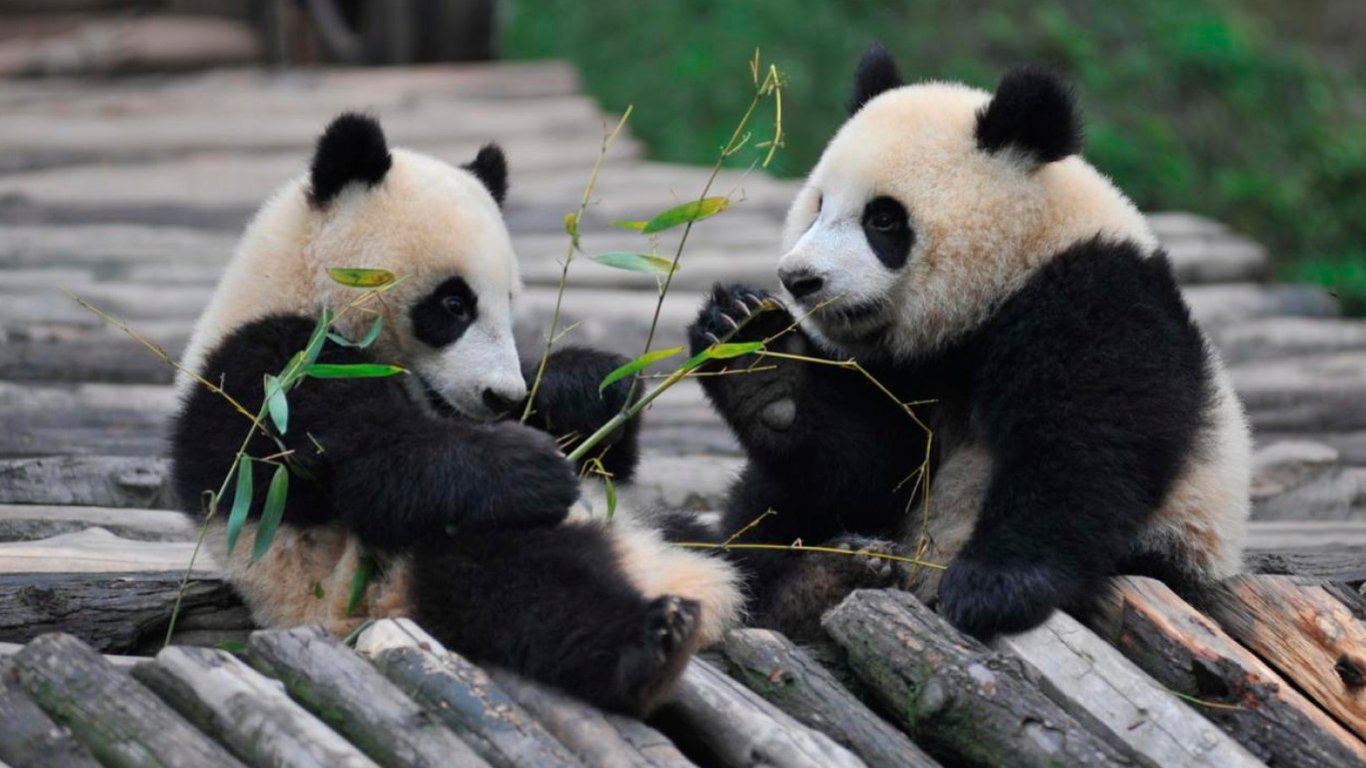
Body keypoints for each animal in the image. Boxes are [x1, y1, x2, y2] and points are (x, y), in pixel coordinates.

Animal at [177, 110, 748, 710]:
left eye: (509, 301)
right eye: (455, 304)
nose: (502, 396)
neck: (298, 285)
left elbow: (600, 452)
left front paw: (590, 387)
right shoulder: (274, 373)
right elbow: (376, 468)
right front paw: (533, 467)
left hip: (655, 524)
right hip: (384, 584)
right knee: (514, 579)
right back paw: (650, 645)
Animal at [688, 44, 1251, 636]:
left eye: (883, 218)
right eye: (818, 206)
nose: (800, 279)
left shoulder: (1095, 293)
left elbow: (1084, 440)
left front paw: (994, 587)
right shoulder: (901, 374)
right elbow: (868, 470)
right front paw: (756, 357)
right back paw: (814, 579)